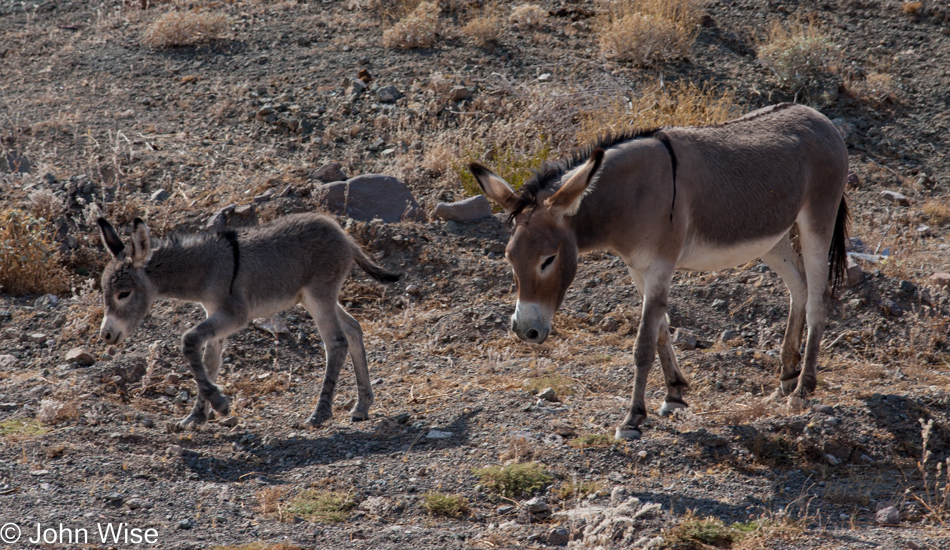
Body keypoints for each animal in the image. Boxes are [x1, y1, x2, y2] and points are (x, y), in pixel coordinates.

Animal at [99, 213, 402, 430]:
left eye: (123, 294)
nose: (106, 335)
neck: (207, 267)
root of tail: (344, 235)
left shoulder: (235, 315)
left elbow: (188, 341)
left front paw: (220, 404)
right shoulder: (214, 315)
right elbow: (209, 361)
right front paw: (196, 417)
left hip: (319, 296)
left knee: (336, 342)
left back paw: (320, 413)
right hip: (315, 298)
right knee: (353, 330)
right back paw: (362, 406)